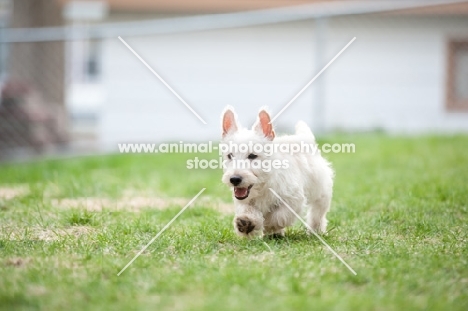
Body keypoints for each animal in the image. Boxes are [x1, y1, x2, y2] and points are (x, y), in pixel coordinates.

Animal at [221, 106, 334, 239]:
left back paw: (316, 231)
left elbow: (279, 216)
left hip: (321, 192)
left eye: (253, 155)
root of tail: (306, 138)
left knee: (317, 213)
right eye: (230, 156)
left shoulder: (293, 199)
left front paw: (269, 225)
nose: (234, 179)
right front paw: (247, 222)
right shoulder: (244, 201)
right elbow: (248, 209)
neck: (263, 185)